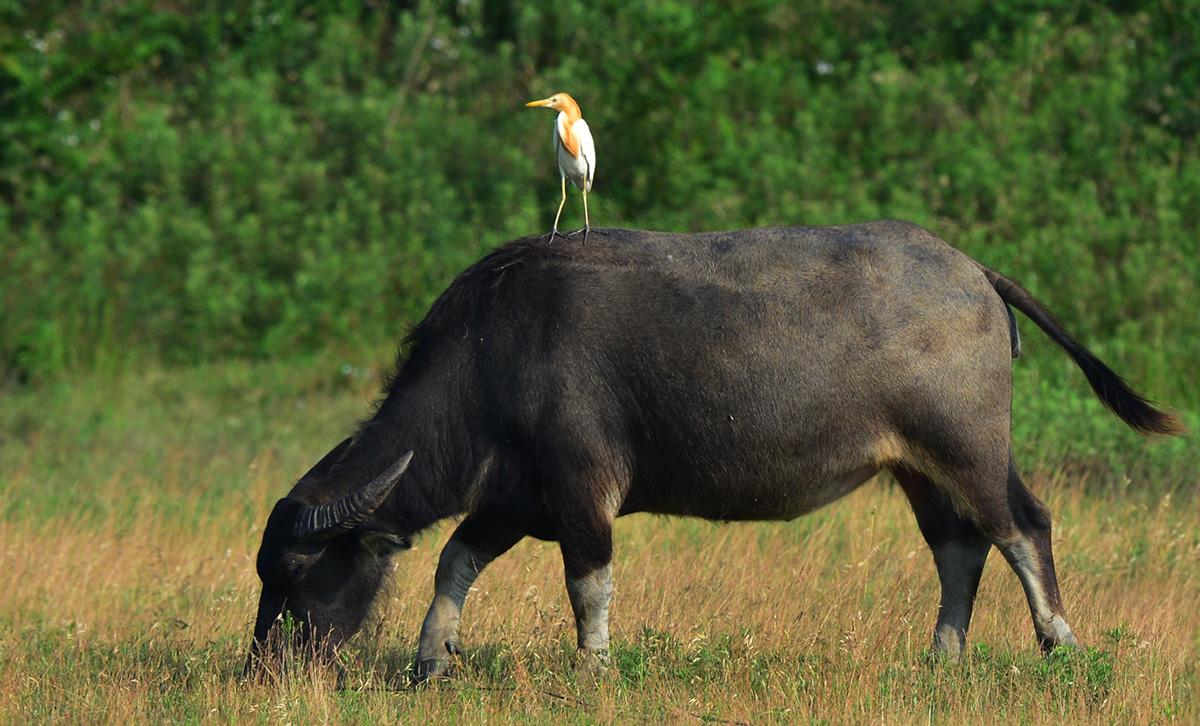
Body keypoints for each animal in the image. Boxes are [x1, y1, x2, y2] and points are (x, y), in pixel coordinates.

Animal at [243, 220, 1180, 681]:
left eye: (297, 571)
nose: (262, 668)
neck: (492, 356)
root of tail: (974, 271)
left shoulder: (581, 490)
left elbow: (588, 583)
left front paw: (594, 671)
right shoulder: (514, 497)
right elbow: (455, 562)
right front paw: (430, 661)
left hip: (969, 445)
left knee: (1022, 526)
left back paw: (1061, 645)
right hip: (917, 469)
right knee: (959, 548)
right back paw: (941, 661)